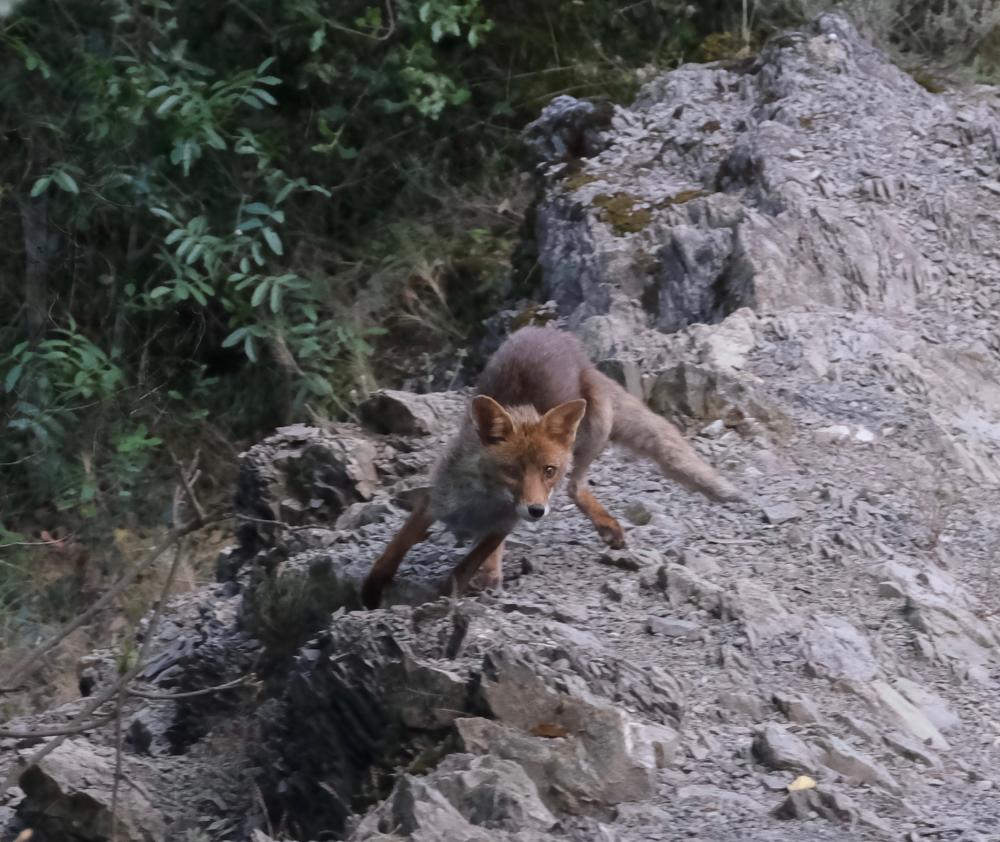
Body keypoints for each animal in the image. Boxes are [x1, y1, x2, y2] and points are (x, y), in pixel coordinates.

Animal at [360, 325, 743, 609]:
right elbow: (396, 547)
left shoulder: (504, 523)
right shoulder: (435, 501)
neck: (484, 502)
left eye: (547, 470)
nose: (536, 511)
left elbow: (466, 565)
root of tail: (557, 334)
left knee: (576, 486)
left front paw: (447, 593)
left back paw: (604, 524)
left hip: (594, 429)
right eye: (512, 471)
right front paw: (372, 588)